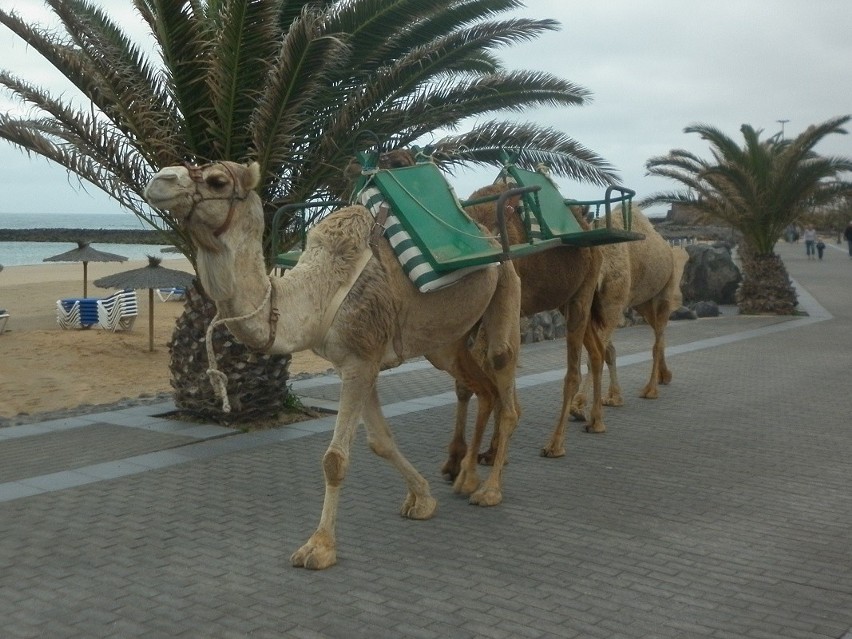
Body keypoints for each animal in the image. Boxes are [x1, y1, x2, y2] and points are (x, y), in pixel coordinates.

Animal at [143, 160, 524, 568]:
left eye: (217, 181)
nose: (160, 179)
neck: (316, 292)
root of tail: (489, 236)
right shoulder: (357, 362)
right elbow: (380, 442)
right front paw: (422, 499)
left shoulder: (361, 360)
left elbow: (335, 459)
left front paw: (319, 546)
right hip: (446, 342)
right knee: (482, 389)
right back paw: (465, 478)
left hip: (506, 282)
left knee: (506, 386)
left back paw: (489, 490)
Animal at [440, 180, 604, 480]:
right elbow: (472, 379)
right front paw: (475, 455)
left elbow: (485, 375)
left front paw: (469, 458)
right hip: (567, 300)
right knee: (597, 352)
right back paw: (596, 421)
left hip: (583, 293)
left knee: (573, 371)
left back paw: (555, 444)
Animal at [572, 208, 692, 412]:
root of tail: (668, 248)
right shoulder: (596, 310)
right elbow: (609, 352)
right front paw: (613, 397)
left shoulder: (613, 305)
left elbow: (596, 355)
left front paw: (578, 404)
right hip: (643, 304)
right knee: (658, 334)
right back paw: (664, 376)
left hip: (665, 291)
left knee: (657, 339)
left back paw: (650, 390)